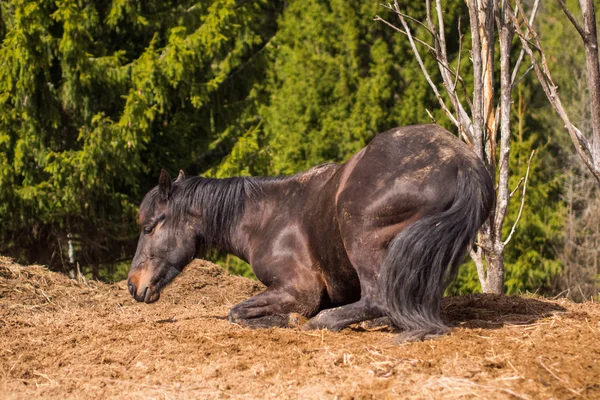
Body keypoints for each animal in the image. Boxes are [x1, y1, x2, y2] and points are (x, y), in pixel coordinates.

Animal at [126, 123, 492, 340]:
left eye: (149, 227)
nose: (133, 285)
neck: (266, 218)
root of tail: (461, 161)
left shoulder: (300, 290)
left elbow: (236, 312)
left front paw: (290, 321)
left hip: (360, 234)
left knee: (377, 298)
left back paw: (328, 321)